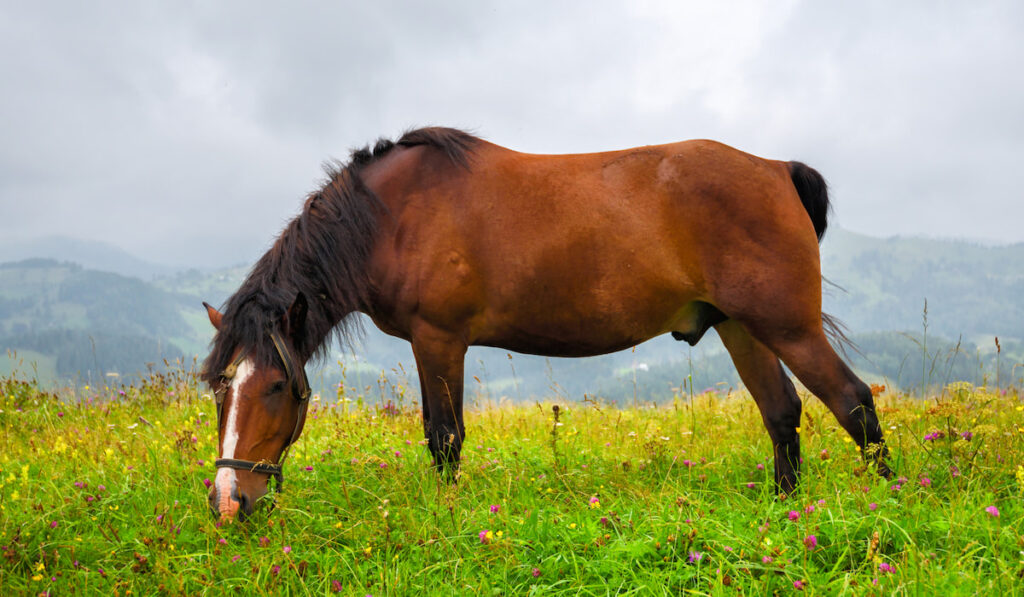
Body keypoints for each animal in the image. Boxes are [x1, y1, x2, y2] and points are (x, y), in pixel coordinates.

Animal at [199, 125, 888, 518]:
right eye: (219, 392)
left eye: (278, 387)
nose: (228, 502)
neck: (391, 217)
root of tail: (776, 169)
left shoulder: (439, 340)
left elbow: (444, 438)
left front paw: (448, 522)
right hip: (740, 327)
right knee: (782, 413)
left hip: (789, 327)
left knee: (852, 401)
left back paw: (886, 503)